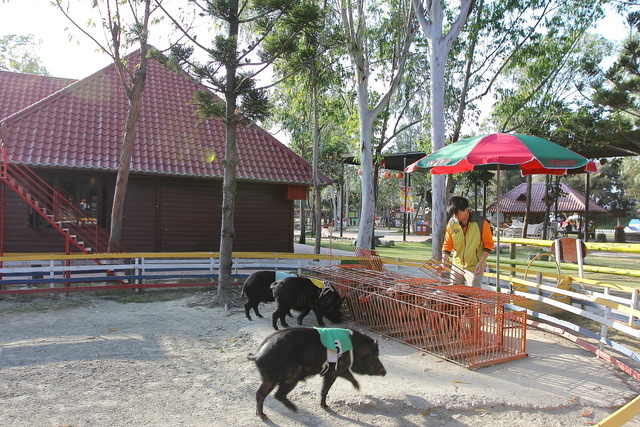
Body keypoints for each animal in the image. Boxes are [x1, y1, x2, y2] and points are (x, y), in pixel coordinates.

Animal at [250, 330, 384, 420]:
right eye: (375, 355)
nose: (384, 371)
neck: (354, 349)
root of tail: (258, 355)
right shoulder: (334, 370)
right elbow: (325, 389)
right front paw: (326, 407)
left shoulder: (339, 369)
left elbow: (349, 376)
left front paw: (358, 388)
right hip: (291, 375)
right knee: (277, 394)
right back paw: (295, 410)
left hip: (268, 378)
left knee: (260, 393)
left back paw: (263, 416)